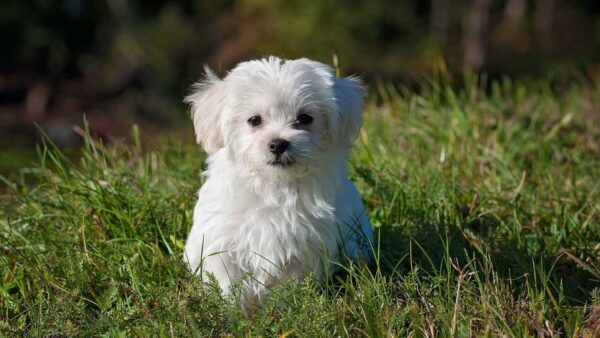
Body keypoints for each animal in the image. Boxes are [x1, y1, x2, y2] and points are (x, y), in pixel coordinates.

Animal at [183, 56, 372, 306]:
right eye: (254, 120)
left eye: (305, 118)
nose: (278, 143)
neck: (274, 186)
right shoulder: (222, 244)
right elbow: (228, 283)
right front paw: (234, 311)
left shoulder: (304, 249)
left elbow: (290, 285)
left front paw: (285, 308)